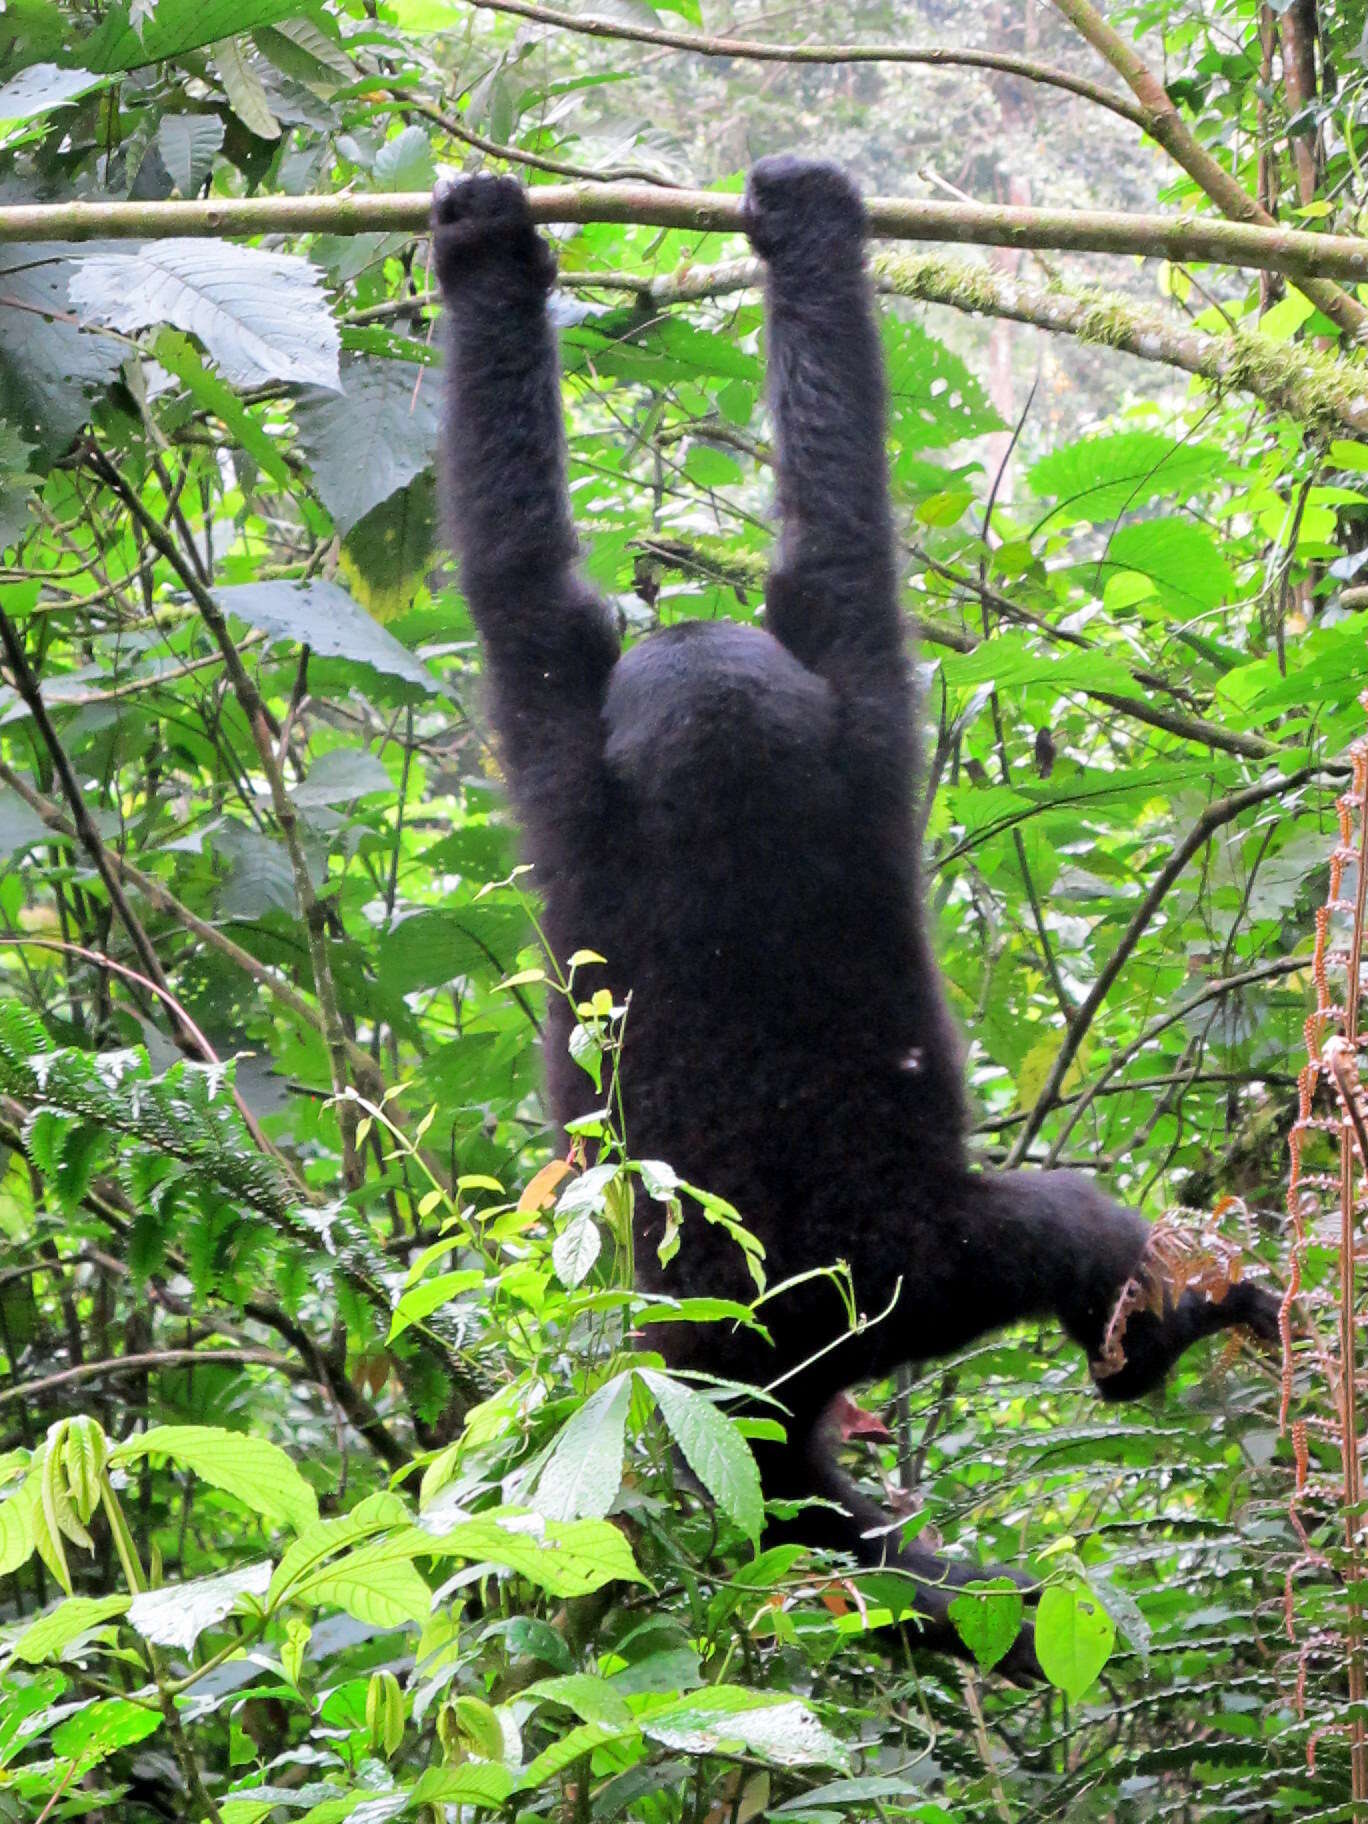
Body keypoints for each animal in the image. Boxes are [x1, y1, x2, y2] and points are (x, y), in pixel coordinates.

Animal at [435, 160, 1284, 1678]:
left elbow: (547, 563)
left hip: (900, 1285)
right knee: (1067, 1247)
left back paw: (1158, 1342)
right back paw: (1155, 1346)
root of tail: (768, 1370)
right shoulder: (818, 720)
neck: (725, 803)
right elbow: (782, 533)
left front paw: (507, 252)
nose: (680, 627)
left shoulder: (618, 744)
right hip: (899, 1294)